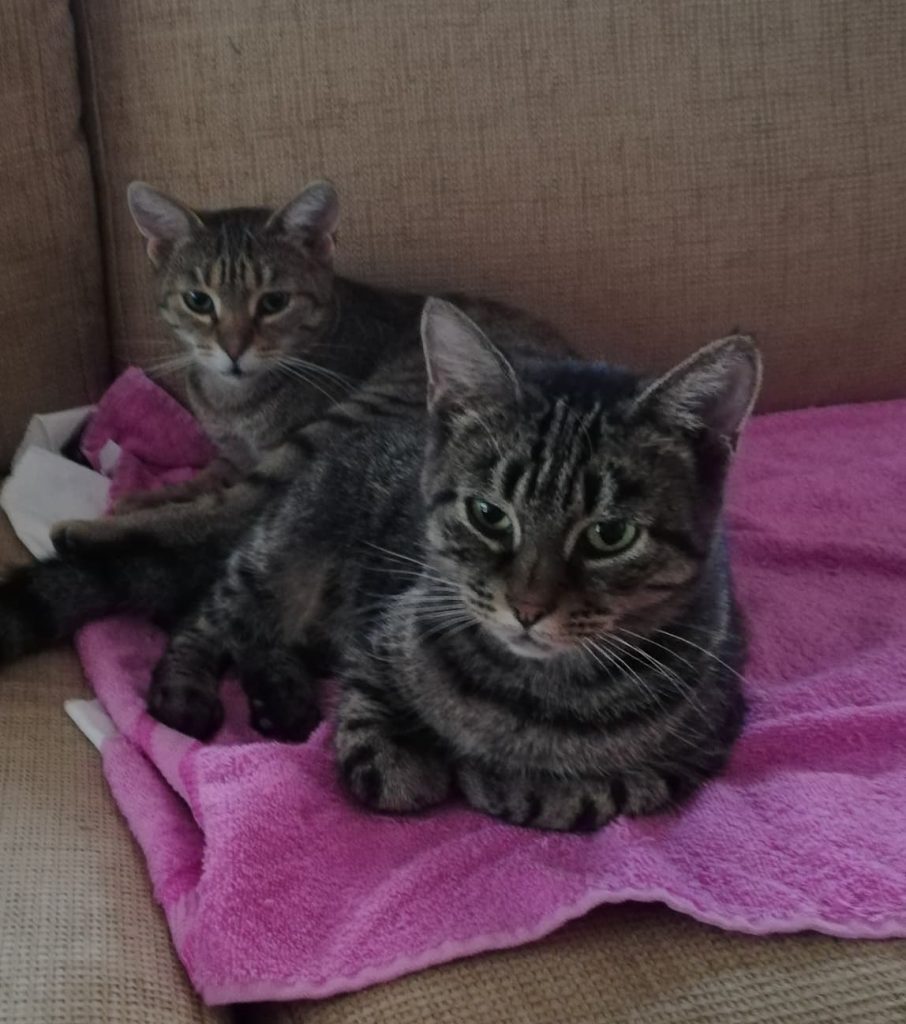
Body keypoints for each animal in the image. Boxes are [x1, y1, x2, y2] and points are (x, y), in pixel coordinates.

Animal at [0, 299, 760, 832]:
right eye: (488, 513)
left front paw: (506, 781)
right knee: (212, 619)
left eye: (610, 534)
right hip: (283, 551)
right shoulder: (375, 649)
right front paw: (430, 765)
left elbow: (598, 791)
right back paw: (194, 688)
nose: (527, 608)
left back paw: (282, 693)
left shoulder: (704, 747)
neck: (533, 690)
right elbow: (391, 769)